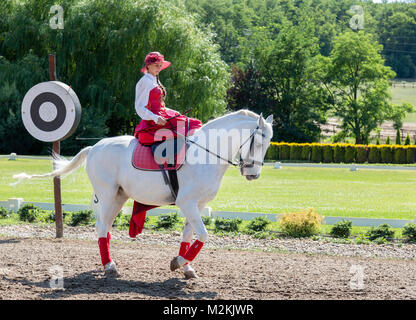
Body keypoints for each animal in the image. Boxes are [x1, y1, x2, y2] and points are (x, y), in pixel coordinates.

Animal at [13, 109, 272, 278]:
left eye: (269, 143)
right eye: (258, 142)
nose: (254, 174)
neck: (205, 154)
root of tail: (95, 146)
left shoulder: (197, 205)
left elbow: (189, 235)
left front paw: (185, 266)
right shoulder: (187, 203)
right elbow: (204, 235)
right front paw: (180, 262)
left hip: (119, 197)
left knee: (105, 227)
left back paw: (108, 262)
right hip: (107, 195)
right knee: (101, 227)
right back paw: (109, 266)